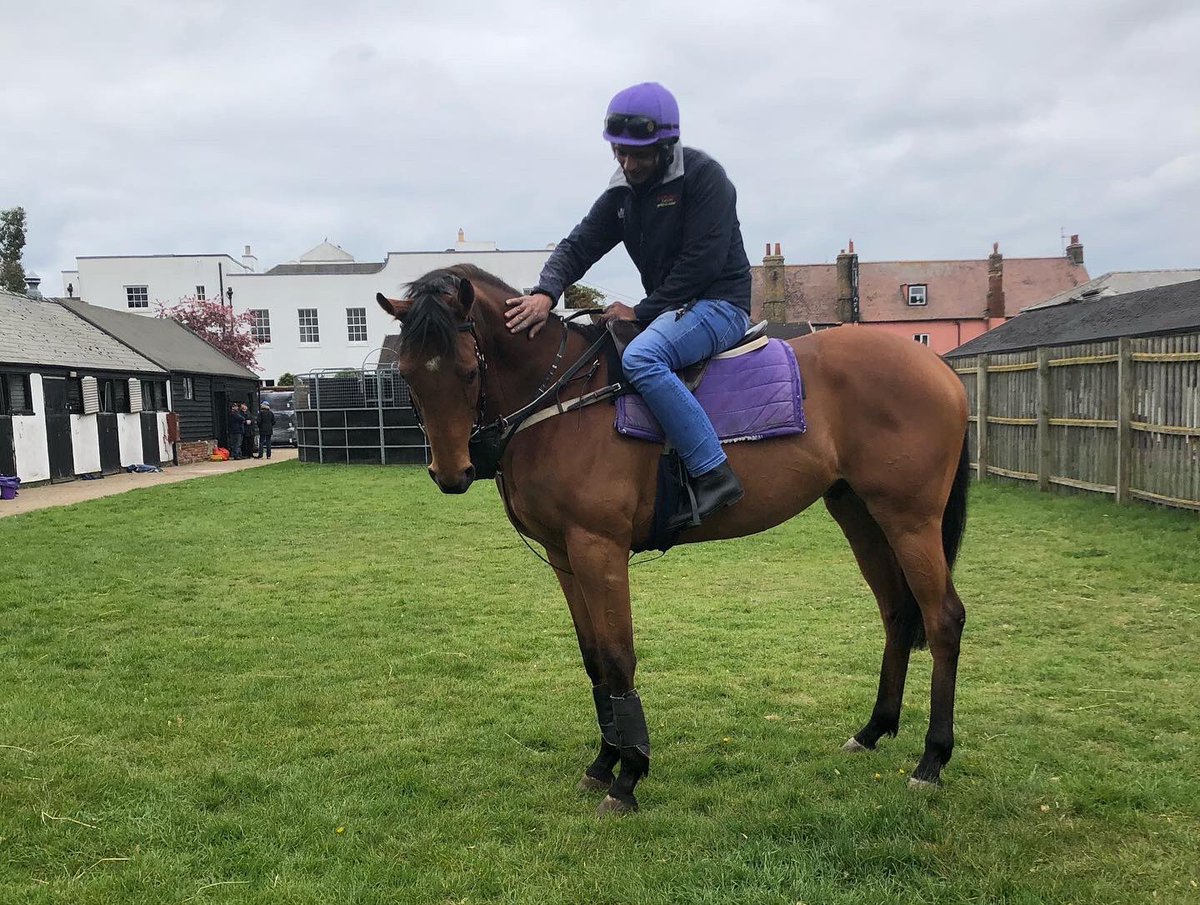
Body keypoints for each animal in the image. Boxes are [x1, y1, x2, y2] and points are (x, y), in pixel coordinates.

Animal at [377, 263, 970, 815]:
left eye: (467, 371)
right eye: (407, 375)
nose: (451, 473)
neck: (566, 398)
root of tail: (935, 365)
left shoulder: (599, 549)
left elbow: (618, 657)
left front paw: (629, 774)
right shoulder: (564, 556)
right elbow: (594, 659)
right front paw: (605, 760)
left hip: (909, 520)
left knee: (942, 618)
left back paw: (932, 758)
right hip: (860, 515)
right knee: (898, 613)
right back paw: (873, 730)